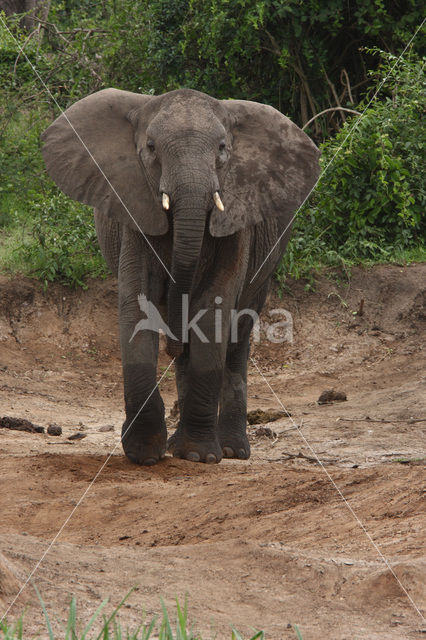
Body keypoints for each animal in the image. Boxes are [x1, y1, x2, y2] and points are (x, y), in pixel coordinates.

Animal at [40, 86, 320, 464]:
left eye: (222, 148)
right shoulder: (134, 208)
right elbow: (137, 304)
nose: (170, 346)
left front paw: (200, 457)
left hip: (268, 262)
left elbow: (213, 309)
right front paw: (145, 454)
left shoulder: (237, 217)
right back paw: (178, 445)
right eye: (151, 147)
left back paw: (231, 450)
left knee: (238, 336)